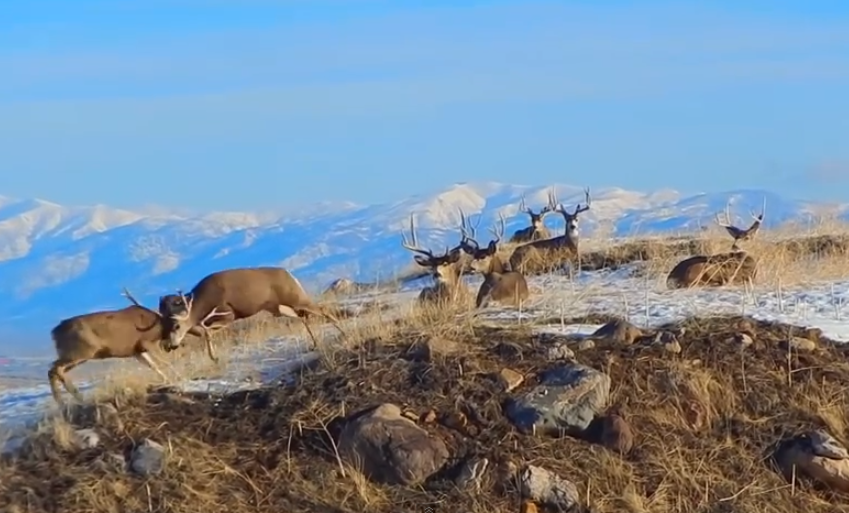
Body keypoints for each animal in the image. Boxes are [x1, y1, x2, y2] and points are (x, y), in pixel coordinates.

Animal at [48, 288, 210, 404]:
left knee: (53, 371)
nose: (173, 346)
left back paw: (62, 403)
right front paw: (180, 378)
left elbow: (154, 366)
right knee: (55, 369)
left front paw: (170, 381)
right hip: (79, 352)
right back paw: (78, 398)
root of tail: (54, 332)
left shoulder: (137, 351)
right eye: (178, 326)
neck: (160, 326)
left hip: (76, 355)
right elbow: (164, 362)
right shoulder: (147, 342)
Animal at [157, 266, 346, 358]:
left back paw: (343, 333)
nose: (169, 346)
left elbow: (207, 333)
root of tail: (290, 274)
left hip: (295, 297)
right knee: (302, 317)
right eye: (164, 327)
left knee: (321, 309)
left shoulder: (228, 314)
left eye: (177, 326)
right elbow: (206, 333)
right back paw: (315, 344)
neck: (201, 303)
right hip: (278, 307)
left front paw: (213, 357)